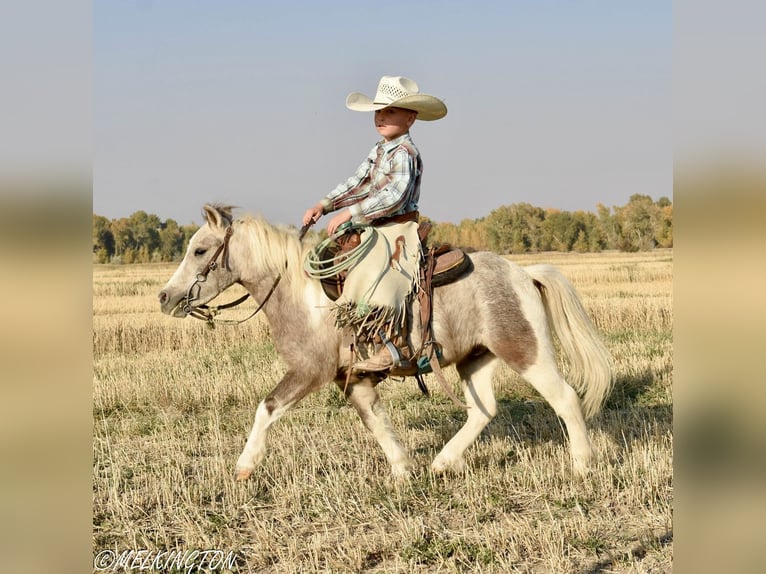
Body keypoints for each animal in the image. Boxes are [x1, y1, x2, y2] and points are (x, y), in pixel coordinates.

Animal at [159, 205, 616, 484]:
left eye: (200, 250)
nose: (165, 297)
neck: (300, 293)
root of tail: (524, 274)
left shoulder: (309, 371)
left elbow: (266, 408)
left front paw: (244, 465)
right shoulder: (354, 379)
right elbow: (375, 422)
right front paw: (402, 468)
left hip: (525, 350)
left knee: (565, 398)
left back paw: (582, 464)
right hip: (476, 359)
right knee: (482, 411)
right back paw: (442, 462)